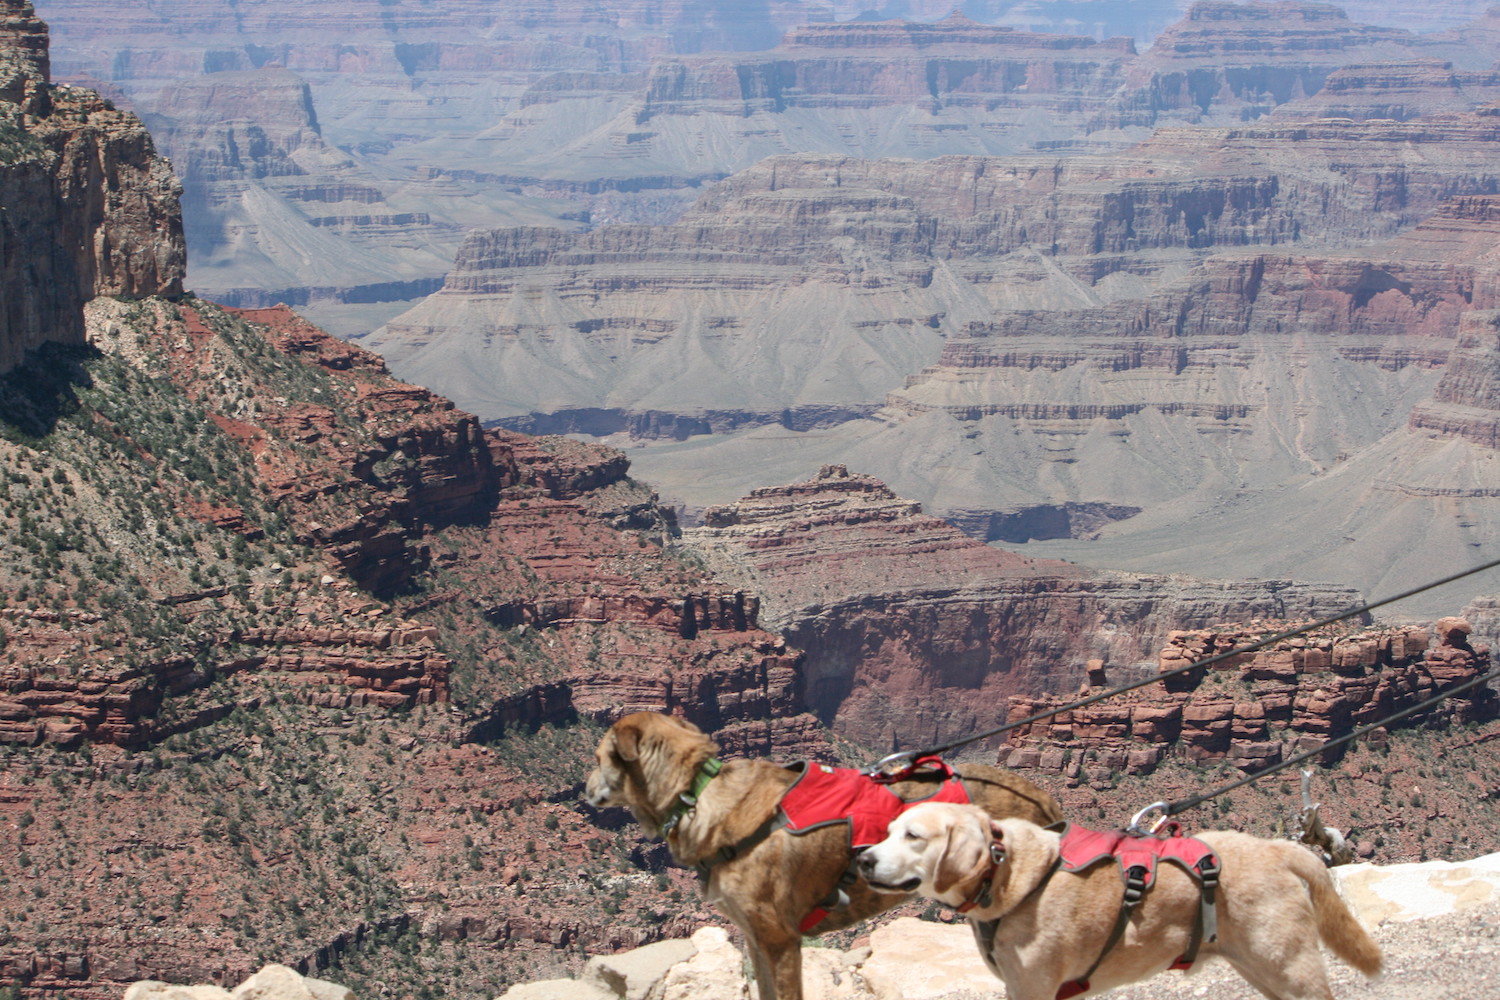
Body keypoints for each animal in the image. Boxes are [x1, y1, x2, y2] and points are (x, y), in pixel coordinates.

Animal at [579, 710, 1062, 1000]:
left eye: (599, 757)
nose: (583, 790)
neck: (696, 795)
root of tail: (1046, 801)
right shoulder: (755, 937)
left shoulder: (781, 939)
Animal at [858, 803, 1380, 1000]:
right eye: (887, 830)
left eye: (913, 836)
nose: (862, 859)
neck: (1005, 876)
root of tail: (1278, 848)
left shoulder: (1033, 987)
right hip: (1262, 969)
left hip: (1288, 964)